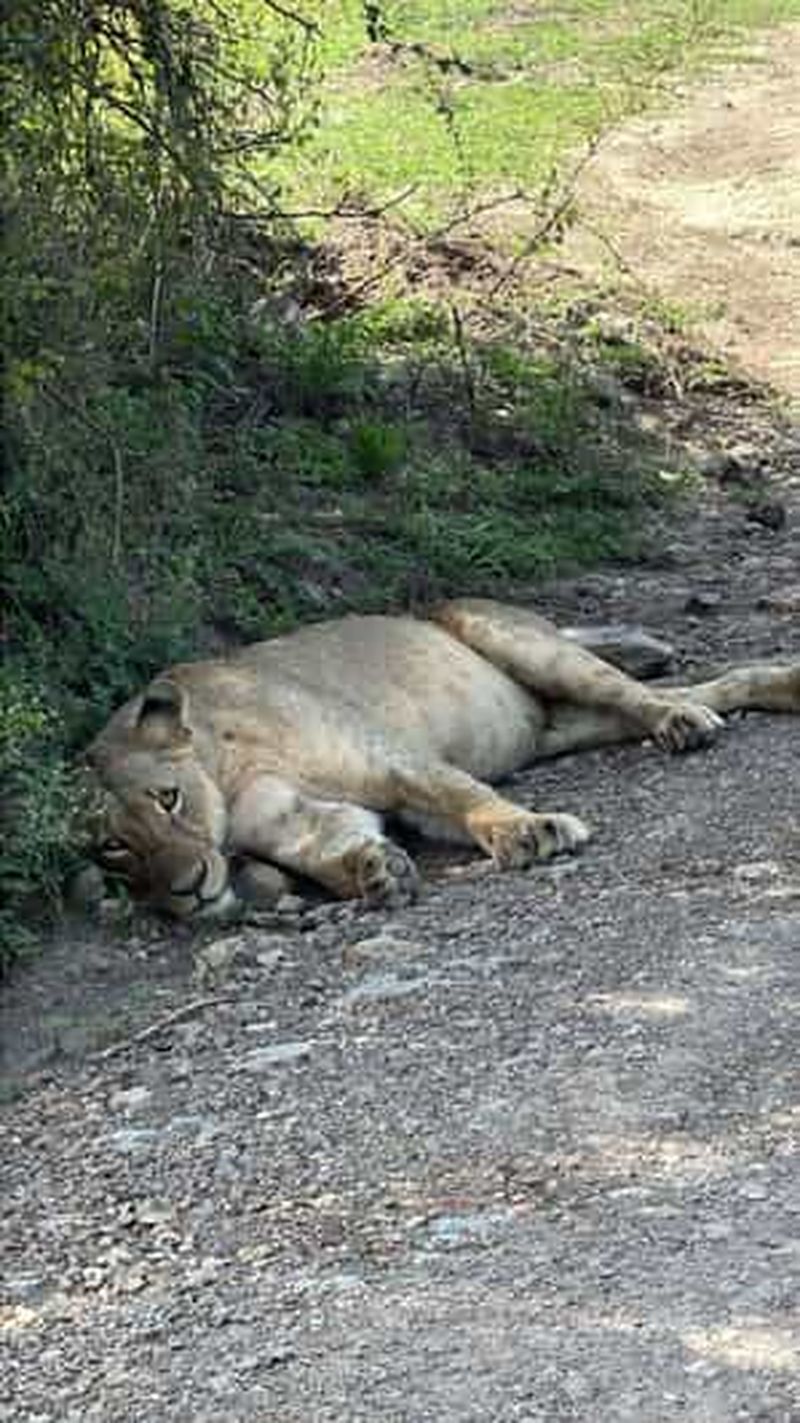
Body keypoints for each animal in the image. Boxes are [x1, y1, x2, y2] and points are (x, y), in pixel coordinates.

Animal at [86, 598, 800, 918]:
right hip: (568, 725)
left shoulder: (392, 760)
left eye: (168, 798)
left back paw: (686, 720)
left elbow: (463, 797)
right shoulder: (294, 817)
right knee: (705, 689)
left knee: (644, 694)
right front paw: (375, 871)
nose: (188, 889)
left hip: (519, 641)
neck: (223, 777)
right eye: (114, 848)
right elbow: (330, 847)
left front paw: (529, 832)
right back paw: (769, 690)